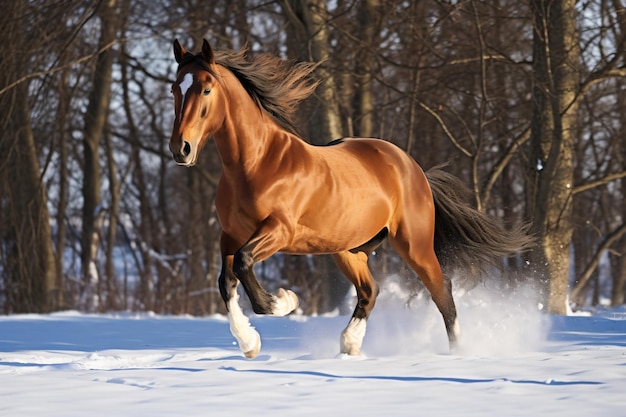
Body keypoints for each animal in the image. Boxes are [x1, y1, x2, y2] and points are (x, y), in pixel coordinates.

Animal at [167, 39, 532, 358]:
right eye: (174, 89)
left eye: (206, 88)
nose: (180, 149)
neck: (258, 163)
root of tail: (412, 168)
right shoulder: (230, 235)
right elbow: (226, 281)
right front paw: (250, 344)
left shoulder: (279, 230)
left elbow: (244, 266)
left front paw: (284, 301)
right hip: (348, 250)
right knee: (371, 291)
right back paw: (349, 345)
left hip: (414, 244)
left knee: (442, 292)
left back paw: (458, 352)